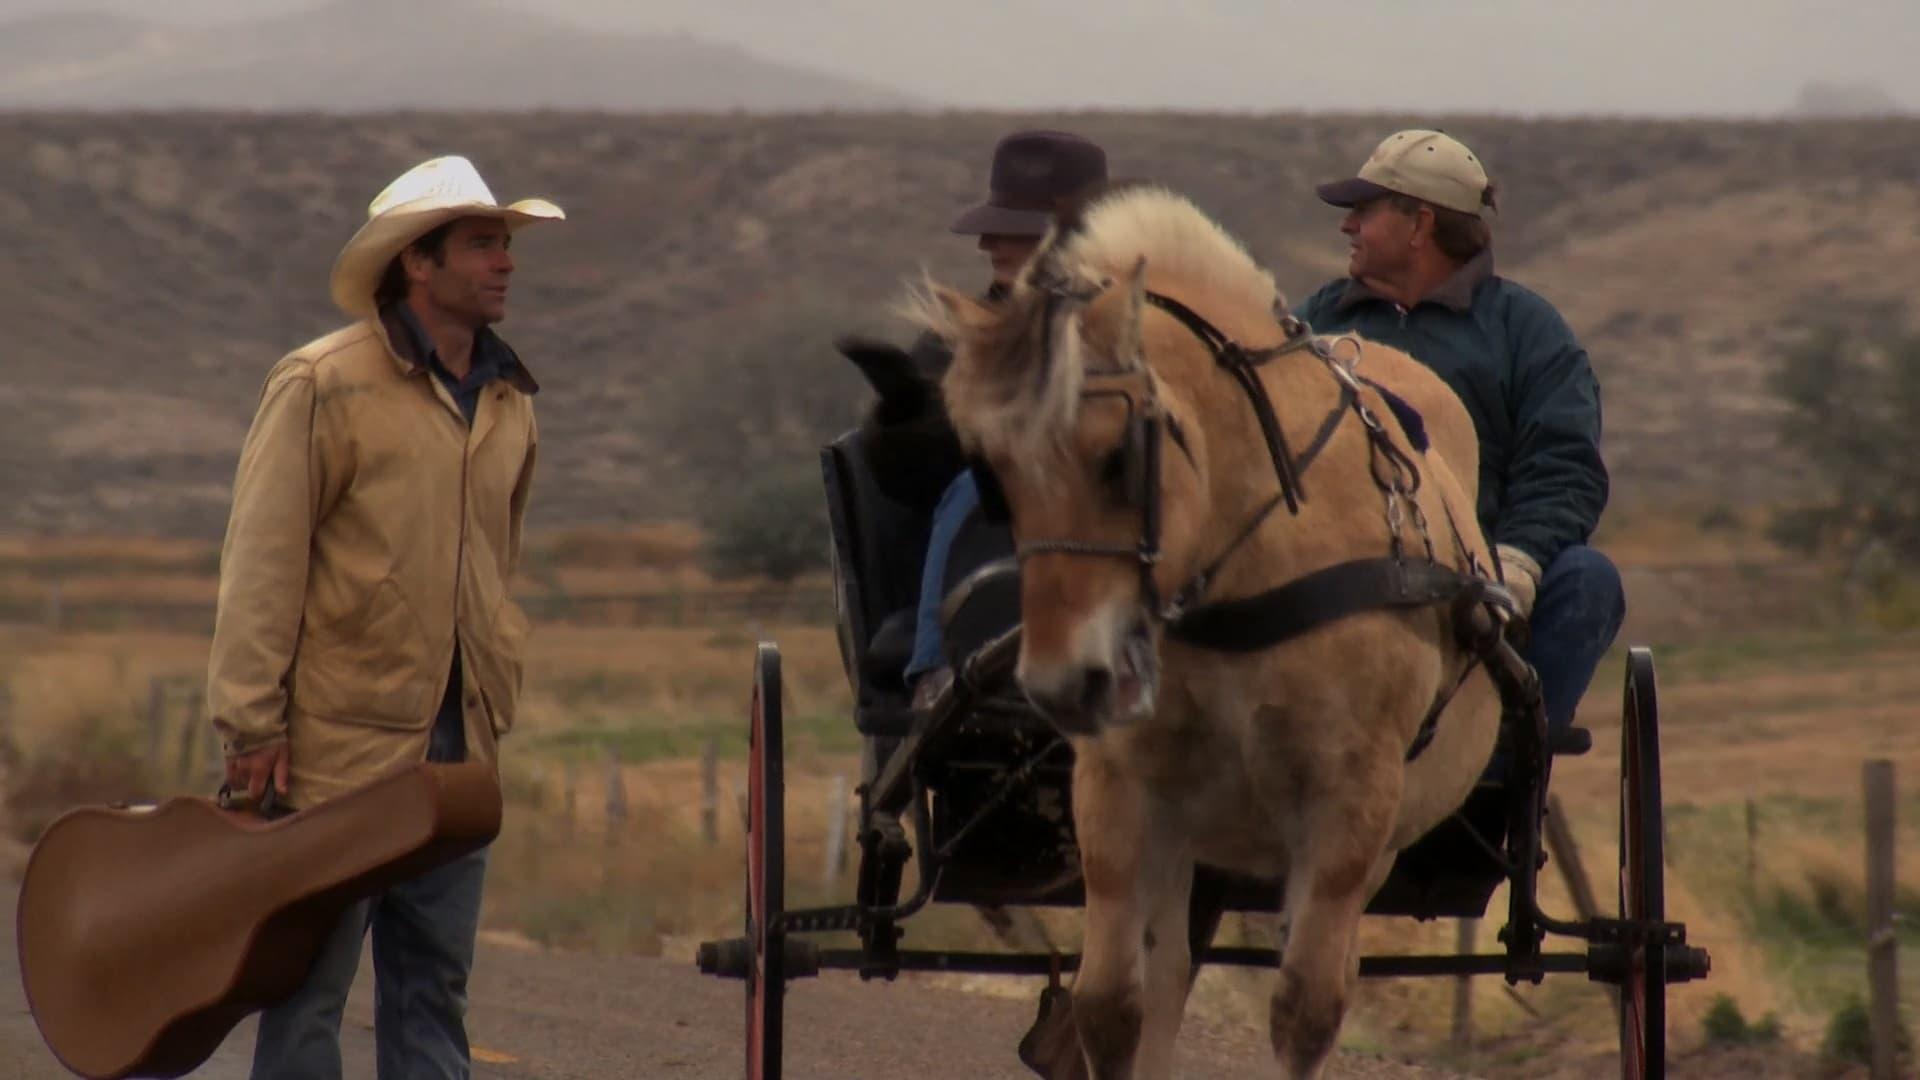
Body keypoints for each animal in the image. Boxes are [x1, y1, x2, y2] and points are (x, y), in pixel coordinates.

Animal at [913, 187, 1512, 1076]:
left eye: (1119, 457)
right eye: (993, 473)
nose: (1063, 685)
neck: (1246, 574)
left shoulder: (1349, 807)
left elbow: (1306, 1010)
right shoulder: (1123, 794)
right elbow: (1115, 1006)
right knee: (1169, 975)